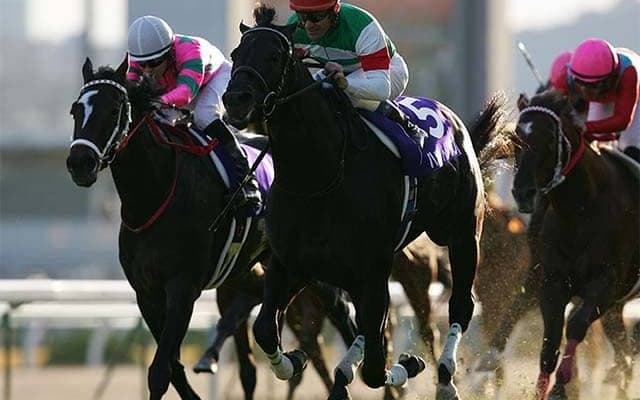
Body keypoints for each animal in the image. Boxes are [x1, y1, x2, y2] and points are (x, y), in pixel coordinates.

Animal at [65, 58, 358, 400]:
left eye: (114, 110)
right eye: (76, 110)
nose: (79, 163)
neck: (155, 194)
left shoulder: (182, 288)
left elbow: (160, 370)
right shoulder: (147, 293)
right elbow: (174, 368)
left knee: (341, 312)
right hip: (245, 271)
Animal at [221, 6, 512, 399]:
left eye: (275, 56)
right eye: (237, 54)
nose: (236, 99)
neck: (318, 178)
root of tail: (454, 121)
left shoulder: (372, 271)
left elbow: (376, 367)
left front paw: (408, 364)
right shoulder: (291, 263)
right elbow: (265, 329)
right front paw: (294, 360)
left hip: (463, 235)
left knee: (460, 305)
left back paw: (446, 379)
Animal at [512, 89, 639, 399]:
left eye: (549, 138)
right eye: (515, 137)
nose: (523, 193)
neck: (581, 211)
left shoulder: (606, 284)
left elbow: (576, 326)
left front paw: (560, 387)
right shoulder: (553, 281)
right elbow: (550, 342)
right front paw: (541, 391)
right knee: (623, 351)